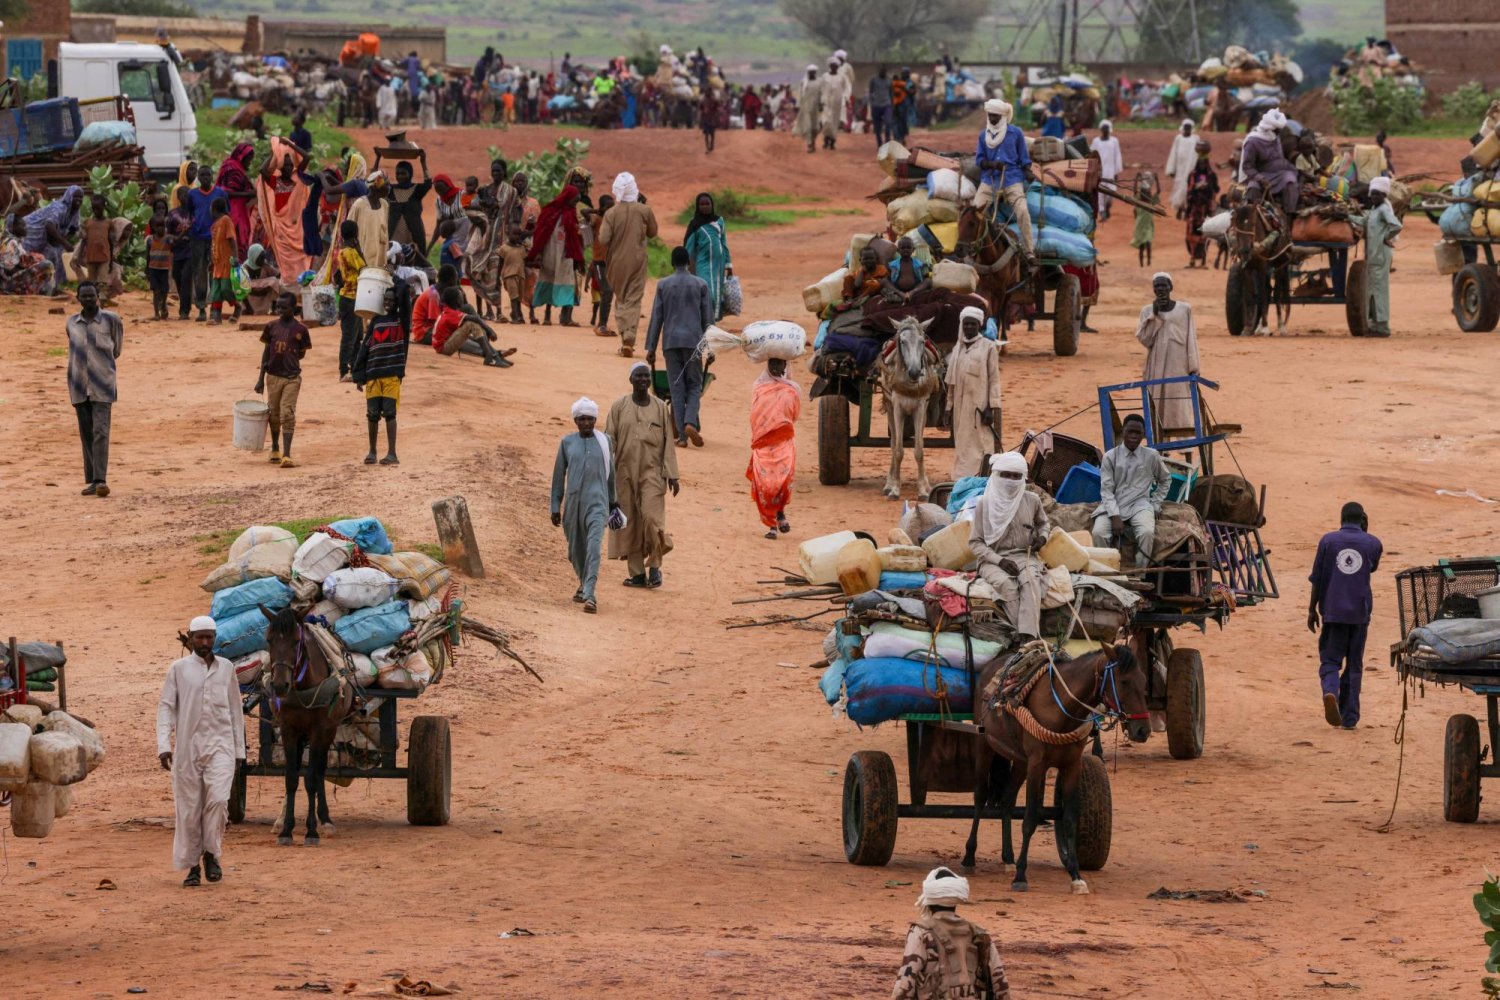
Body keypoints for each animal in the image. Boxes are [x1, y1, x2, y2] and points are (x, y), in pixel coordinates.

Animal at [258, 605, 354, 851]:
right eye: (269, 639)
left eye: (296, 641)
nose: (280, 685)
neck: (302, 687)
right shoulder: (288, 729)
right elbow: (291, 778)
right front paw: (286, 831)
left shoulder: (319, 730)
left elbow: (311, 779)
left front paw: (311, 831)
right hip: (301, 735)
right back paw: (284, 820)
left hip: (329, 730)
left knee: (319, 771)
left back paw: (326, 820)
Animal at [960, 644, 1146, 893]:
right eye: (1124, 682)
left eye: (1144, 680)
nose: (1143, 730)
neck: (1060, 707)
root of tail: (991, 666)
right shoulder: (1037, 765)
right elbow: (1029, 820)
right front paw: (1021, 876)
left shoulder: (1071, 766)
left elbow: (1069, 820)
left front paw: (1076, 875)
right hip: (985, 746)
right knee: (980, 797)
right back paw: (970, 856)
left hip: (1020, 761)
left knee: (1007, 801)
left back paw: (1008, 858)